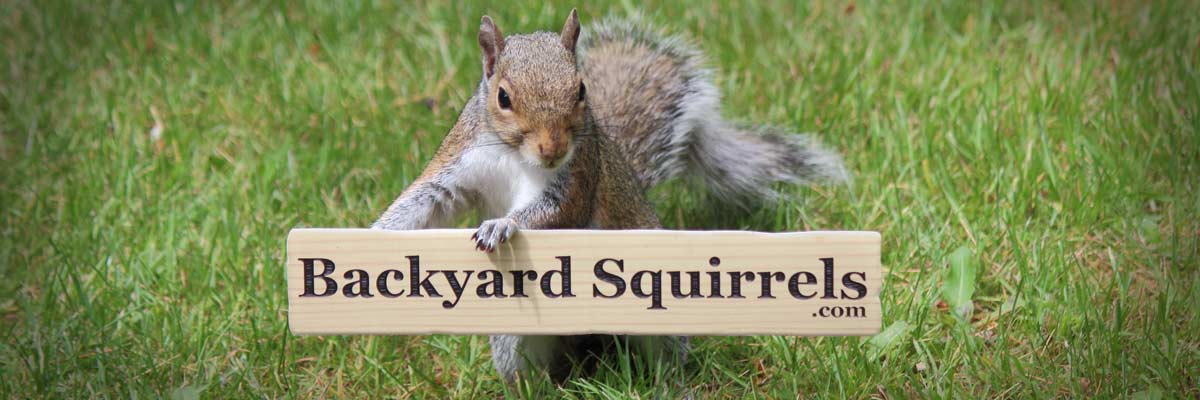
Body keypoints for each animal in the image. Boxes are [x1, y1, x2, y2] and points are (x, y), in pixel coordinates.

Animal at [371, 10, 847, 383]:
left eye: (581, 90)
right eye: (503, 96)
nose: (552, 150)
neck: (513, 155)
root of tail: (590, 339)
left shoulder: (578, 175)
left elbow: (556, 212)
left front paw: (503, 224)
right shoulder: (461, 160)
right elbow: (427, 199)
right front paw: (375, 234)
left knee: (666, 358)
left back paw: (671, 384)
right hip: (516, 337)